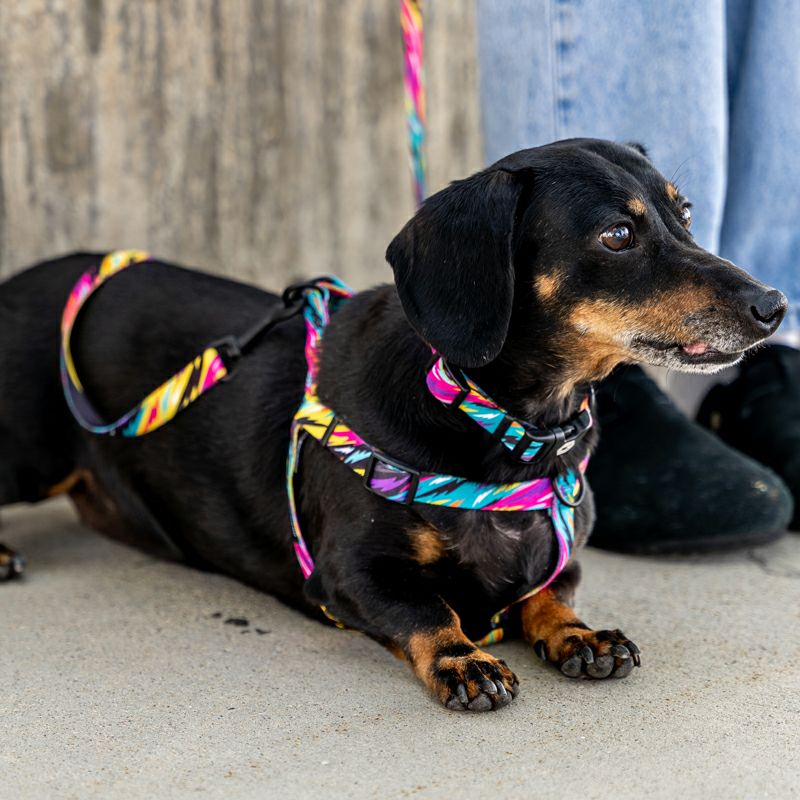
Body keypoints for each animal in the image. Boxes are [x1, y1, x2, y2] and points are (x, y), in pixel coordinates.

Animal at [0, 139, 788, 712]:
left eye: (686, 214)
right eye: (618, 234)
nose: (774, 306)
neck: (498, 425)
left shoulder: (560, 557)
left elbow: (549, 592)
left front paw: (578, 634)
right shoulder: (352, 573)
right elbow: (426, 609)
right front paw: (464, 659)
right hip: (28, 454)